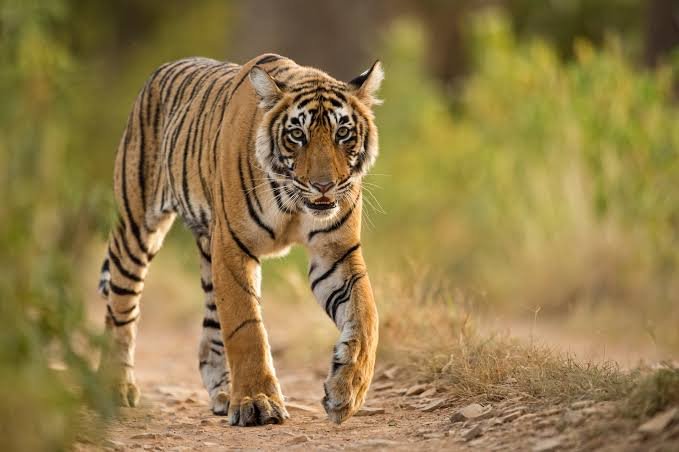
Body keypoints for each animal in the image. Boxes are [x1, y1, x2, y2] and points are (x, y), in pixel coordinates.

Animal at [97, 53, 383, 426]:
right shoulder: (233, 246)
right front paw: (257, 403)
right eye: (297, 135)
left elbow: (365, 316)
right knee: (121, 308)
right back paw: (116, 387)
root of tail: (163, 68)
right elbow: (246, 327)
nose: (324, 186)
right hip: (137, 226)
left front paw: (346, 391)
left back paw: (222, 394)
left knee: (209, 333)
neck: (293, 201)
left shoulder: (335, 253)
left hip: (207, 250)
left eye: (343, 133)